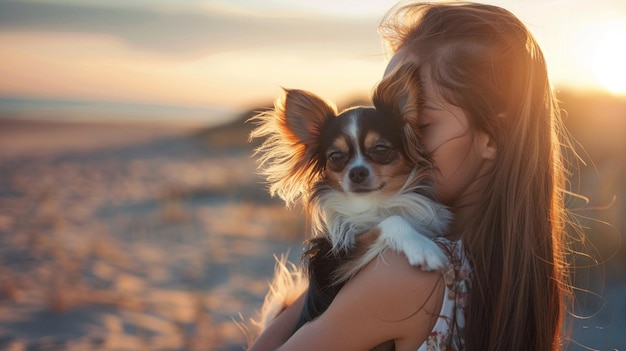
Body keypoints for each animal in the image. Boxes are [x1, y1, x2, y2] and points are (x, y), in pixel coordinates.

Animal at [244, 62, 448, 340]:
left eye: (381, 150)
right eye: (336, 157)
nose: (357, 172)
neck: (374, 204)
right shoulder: (336, 265)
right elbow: (390, 222)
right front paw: (423, 248)